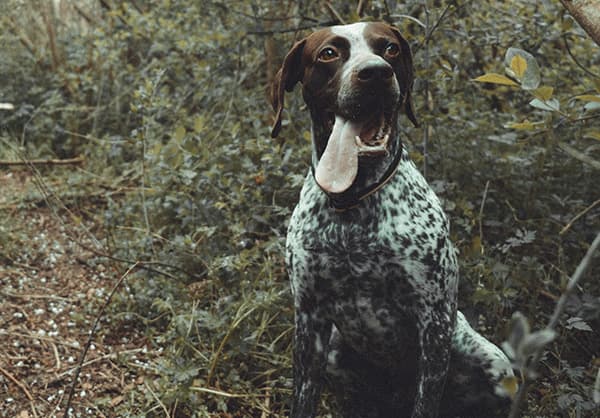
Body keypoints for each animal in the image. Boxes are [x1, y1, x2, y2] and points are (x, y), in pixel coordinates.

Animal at [270, 20, 512, 418]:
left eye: (390, 48)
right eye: (329, 53)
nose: (375, 73)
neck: (352, 204)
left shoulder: (433, 321)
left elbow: (425, 402)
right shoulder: (309, 318)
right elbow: (302, 399)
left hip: (495, 365)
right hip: (335, 352)